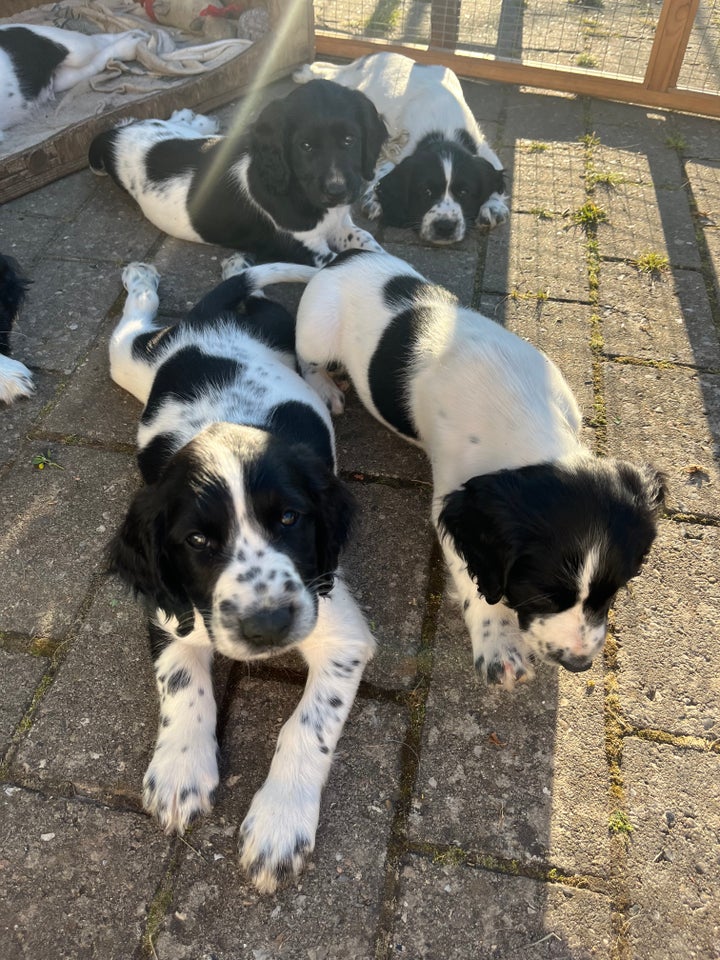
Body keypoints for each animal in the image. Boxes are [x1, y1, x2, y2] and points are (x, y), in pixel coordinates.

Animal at [89, 78, 388, 264]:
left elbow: (369, 243)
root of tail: (114, 134)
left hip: (170, 131)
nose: (337, 191)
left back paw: (193, 118)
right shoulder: (307, 248)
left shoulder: (341, 224)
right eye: (305, 146)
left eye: (349, 140)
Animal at [109, 256, 376, 892]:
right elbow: (182, 684)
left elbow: (307, 725)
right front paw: (179, 771)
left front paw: (280, 822)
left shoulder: (339, 629)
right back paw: (145, 278)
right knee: (126, 332)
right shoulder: (172, 611)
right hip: (135, 367)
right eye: (198, 540)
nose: (268, 626)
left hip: (271, 333)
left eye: (290, 519)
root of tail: (208, 323)